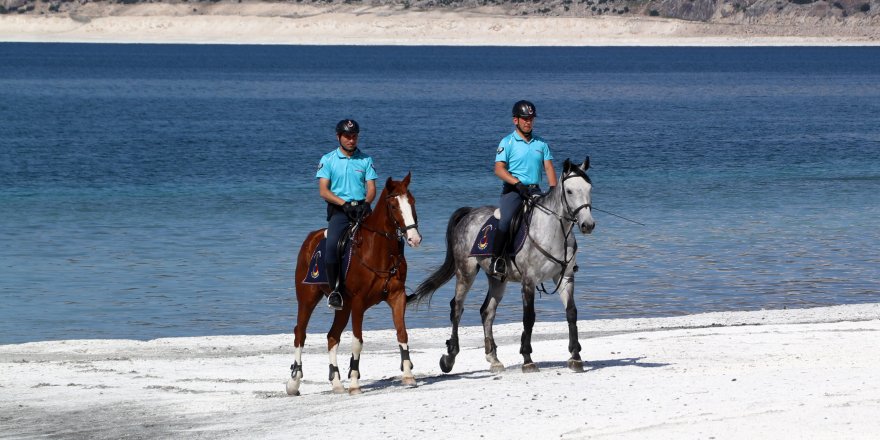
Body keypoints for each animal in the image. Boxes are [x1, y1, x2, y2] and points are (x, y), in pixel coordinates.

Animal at [286, 174, 422, 398]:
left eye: (412, 202)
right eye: (394, 206)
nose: (414, 238)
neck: (379, 251)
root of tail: (310, 238)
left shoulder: (397, 297)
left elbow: (402, 333)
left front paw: (409, 375)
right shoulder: (359, 303)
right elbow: (357, 343)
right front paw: (355, 383)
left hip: (343, 307)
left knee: (332, 336)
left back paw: (336, 383)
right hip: (307, 299)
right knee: (300, 333)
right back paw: (294, 382)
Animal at [410, 156, 596, 372]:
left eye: (589, 188)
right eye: (570, 191)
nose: (588, 225)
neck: (553, 231)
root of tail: (470, 213)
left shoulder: (565, 276)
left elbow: (571, 313)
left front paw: (575, 356)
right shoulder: (528, 281)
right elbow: (529, 317)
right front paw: (527, 359)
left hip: (497, 278)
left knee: (487, 311)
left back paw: (493, 358)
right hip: (466, 272)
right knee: (457, 308)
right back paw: (449, 358)